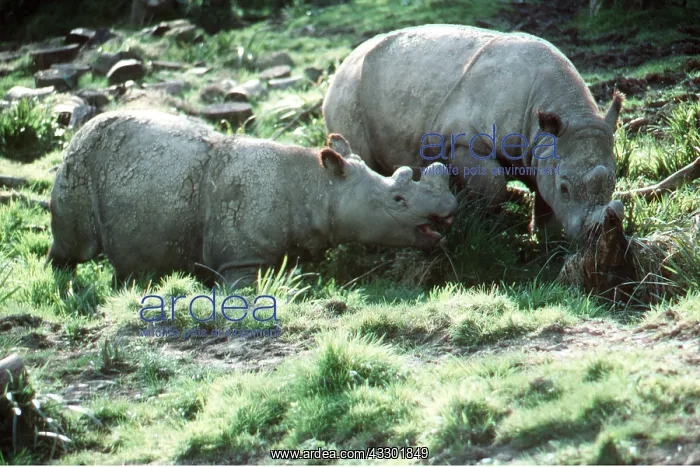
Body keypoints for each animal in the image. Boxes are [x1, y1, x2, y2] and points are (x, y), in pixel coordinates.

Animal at [47, 110, 457, 287]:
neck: (320, 185)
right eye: (398, 199)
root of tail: (82, 126)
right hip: (79, 160)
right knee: (76, 245)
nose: (450, 208)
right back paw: (64, 282)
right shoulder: (239, 258)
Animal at [323, 24, 625, 241]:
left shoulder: (544, 148)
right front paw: (488, 225)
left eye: (613, 183)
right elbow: (493, 186)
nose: (593, 234)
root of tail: (341, 67)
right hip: (348, 92)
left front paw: (545, 241)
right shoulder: (465, 141)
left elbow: (544, 196)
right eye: (565, 189)